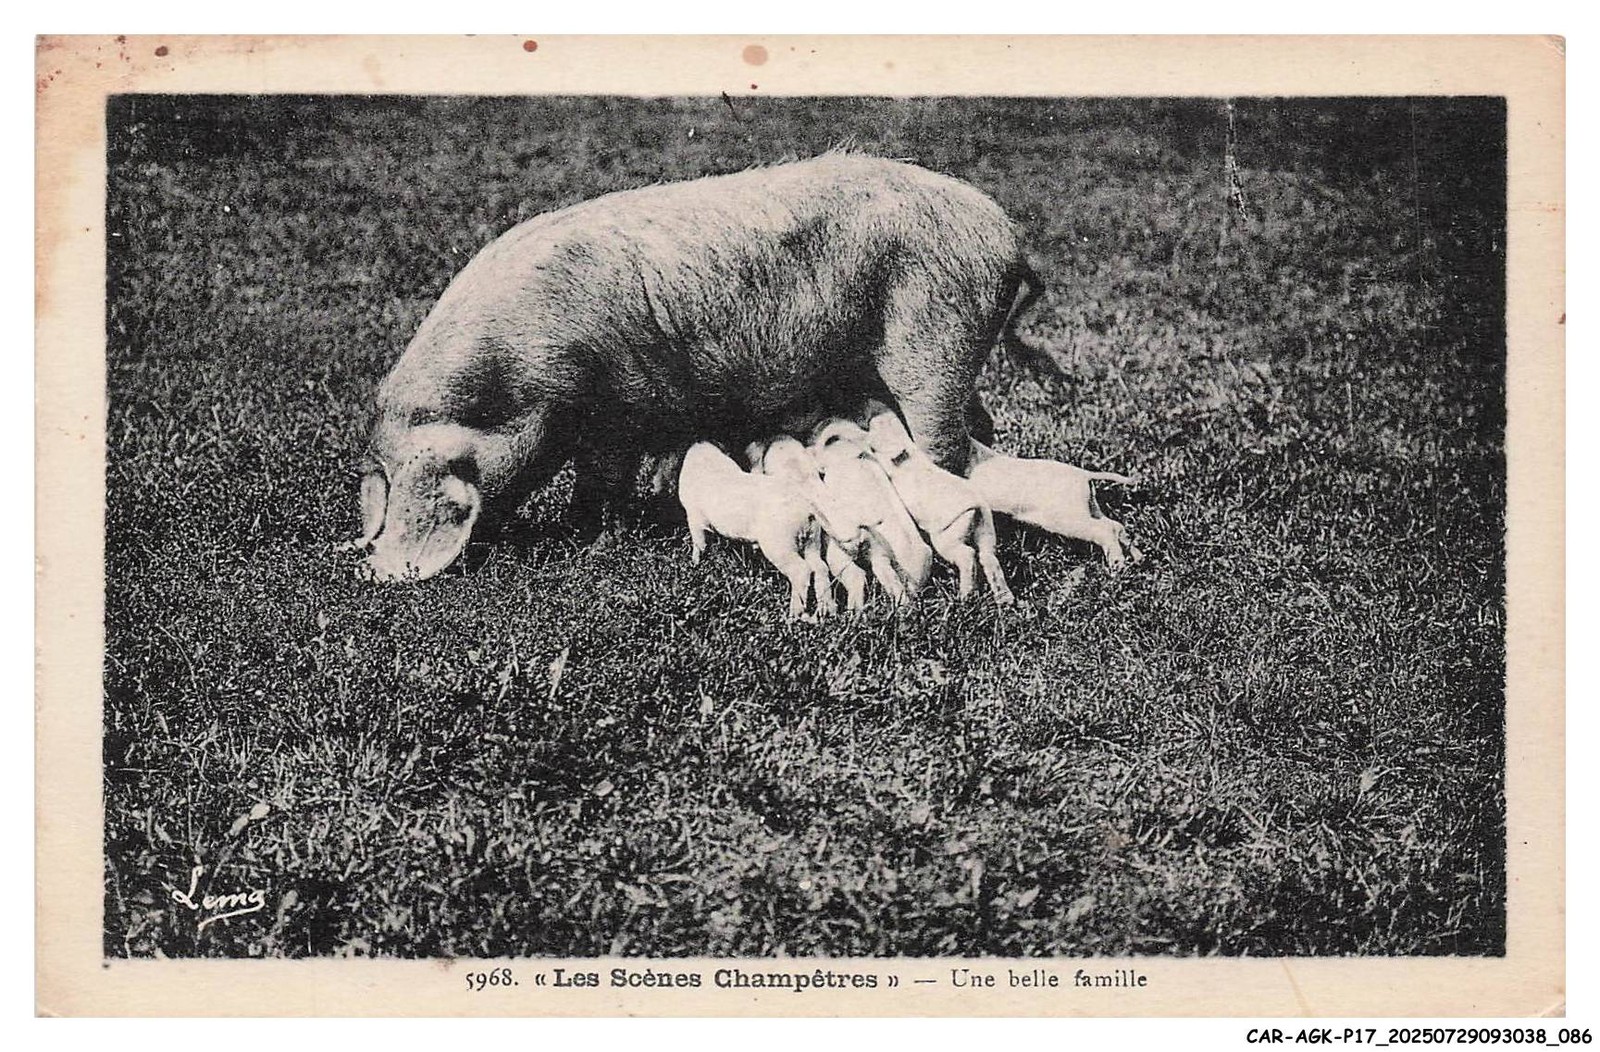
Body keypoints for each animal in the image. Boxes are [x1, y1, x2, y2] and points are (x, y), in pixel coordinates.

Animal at [354, 153, 1047, 581]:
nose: (376, 571)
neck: (518, 378)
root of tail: (1008, 236)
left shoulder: (614, 406)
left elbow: (601, 481)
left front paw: (587, 539)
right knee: (980, 428)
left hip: (934, 343)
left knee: (946, 447)